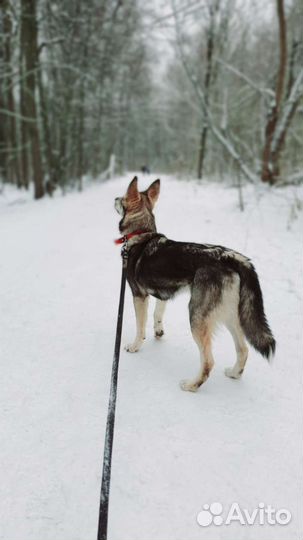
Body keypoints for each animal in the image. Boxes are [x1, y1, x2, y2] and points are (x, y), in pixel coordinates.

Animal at [115, 177, 276, 392]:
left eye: (121, 198)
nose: (114, 198)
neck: (142, 233)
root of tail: (233, 257)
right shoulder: (162, 294)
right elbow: (157, 315)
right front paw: (158, 332)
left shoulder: (138, 295)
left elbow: (140, 327)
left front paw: (134, 346)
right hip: (231, 315)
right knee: (243, 349)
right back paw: (234, 373)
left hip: (197, 315)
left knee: (208, 361)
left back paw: (192, 385)